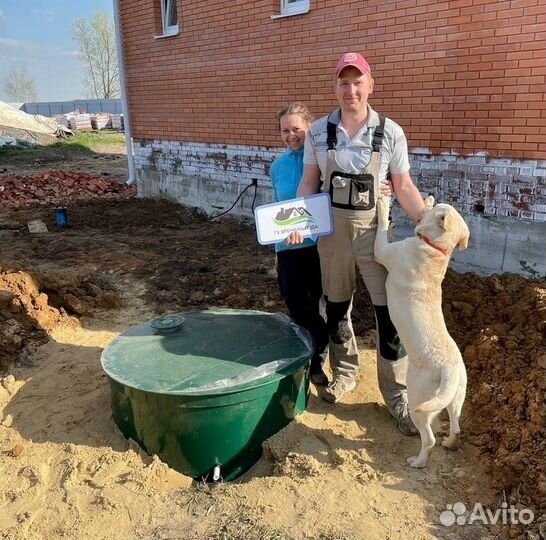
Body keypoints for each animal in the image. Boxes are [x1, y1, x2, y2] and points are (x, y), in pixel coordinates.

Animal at [374, 195, 468, 468]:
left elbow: (381, 229)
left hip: (419, 400)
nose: (430, 197)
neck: (437, 250)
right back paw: (450, 443)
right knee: (456, 427)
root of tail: (449, 368)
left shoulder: (382, 251)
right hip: (456, 398)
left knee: (429, 439)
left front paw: (384, 204)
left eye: (438, 207)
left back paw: (418, 461)